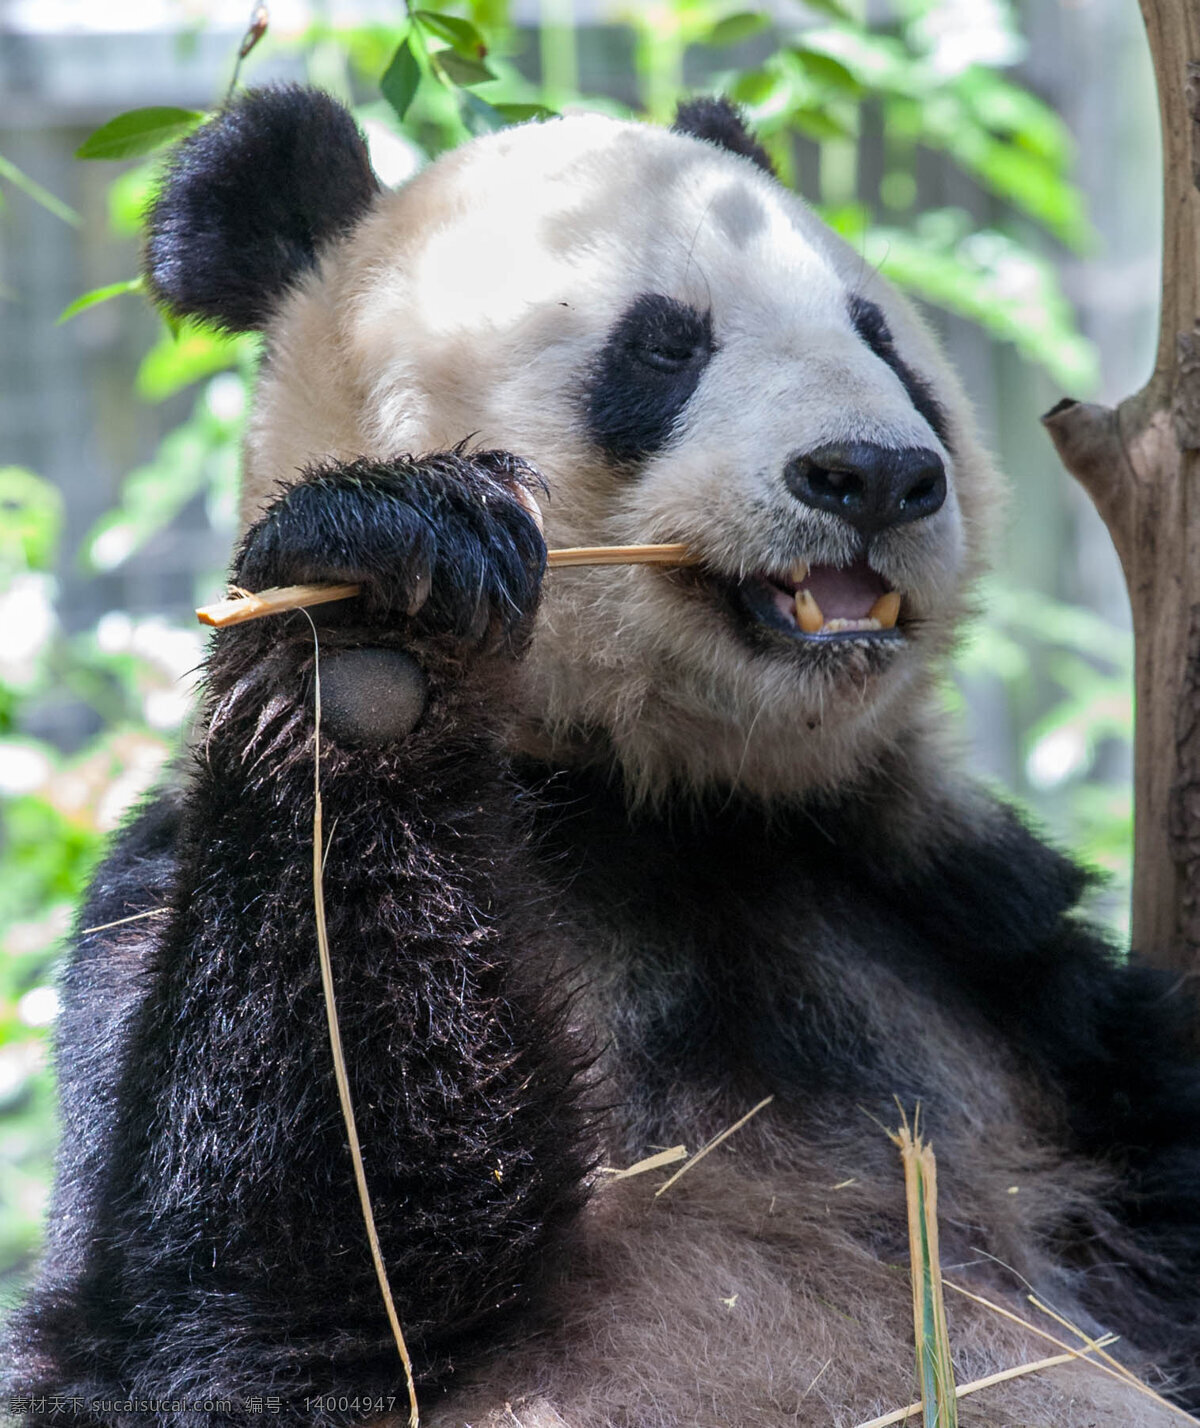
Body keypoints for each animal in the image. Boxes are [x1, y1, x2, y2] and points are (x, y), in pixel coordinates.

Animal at [2, 83, 1200, 1422]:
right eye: (665, 346)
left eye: (883, 341)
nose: (877, 474)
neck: (656, 792)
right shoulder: (160, 904)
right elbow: (242, 1309)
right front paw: (378, 633)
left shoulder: (977, 937)